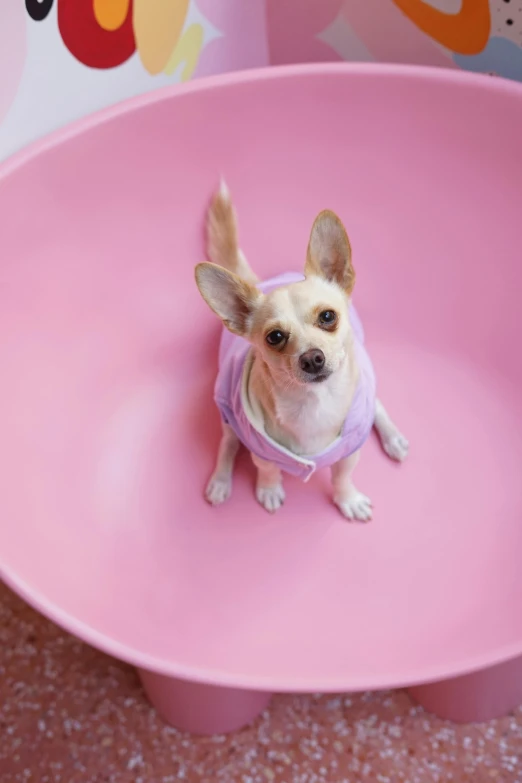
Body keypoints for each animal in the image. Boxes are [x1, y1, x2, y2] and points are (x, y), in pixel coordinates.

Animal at [194, 183, 406, 520]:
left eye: (328, 317)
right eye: (275, 337)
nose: (312, 358)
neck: (312, 404)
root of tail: (264, 282)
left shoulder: (349, 454)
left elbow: (342, 476)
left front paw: (347, 499)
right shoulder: (261, 449)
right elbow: (267, 469)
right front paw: (269, 489)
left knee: (377, 405)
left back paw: (393, 437)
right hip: (228, 413)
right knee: (227, 443)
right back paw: (221, 480)